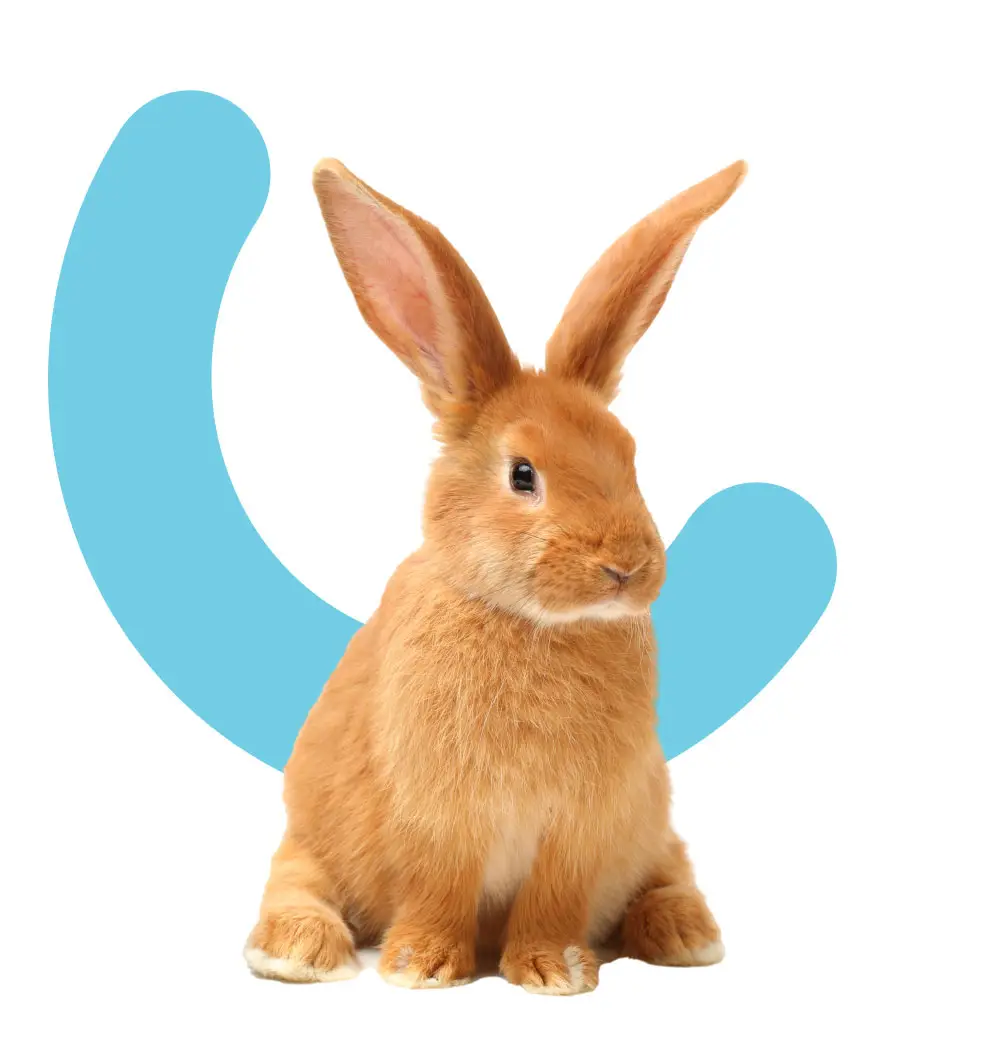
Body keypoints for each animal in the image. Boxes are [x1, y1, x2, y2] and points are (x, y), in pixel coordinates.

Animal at [244, 157, 746, 995]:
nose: (627, 567)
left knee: (666, 874)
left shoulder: (583, 825)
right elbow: (439, 888)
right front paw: (420, 968)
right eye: (522, 475)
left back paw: (686, 934)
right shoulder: (439, 816)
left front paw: (552, 970)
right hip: (310, 830)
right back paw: (294, 952)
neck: (531, 624)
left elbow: (553, 900)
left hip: (652, 827)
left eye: (630, 457)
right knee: (296, 880)